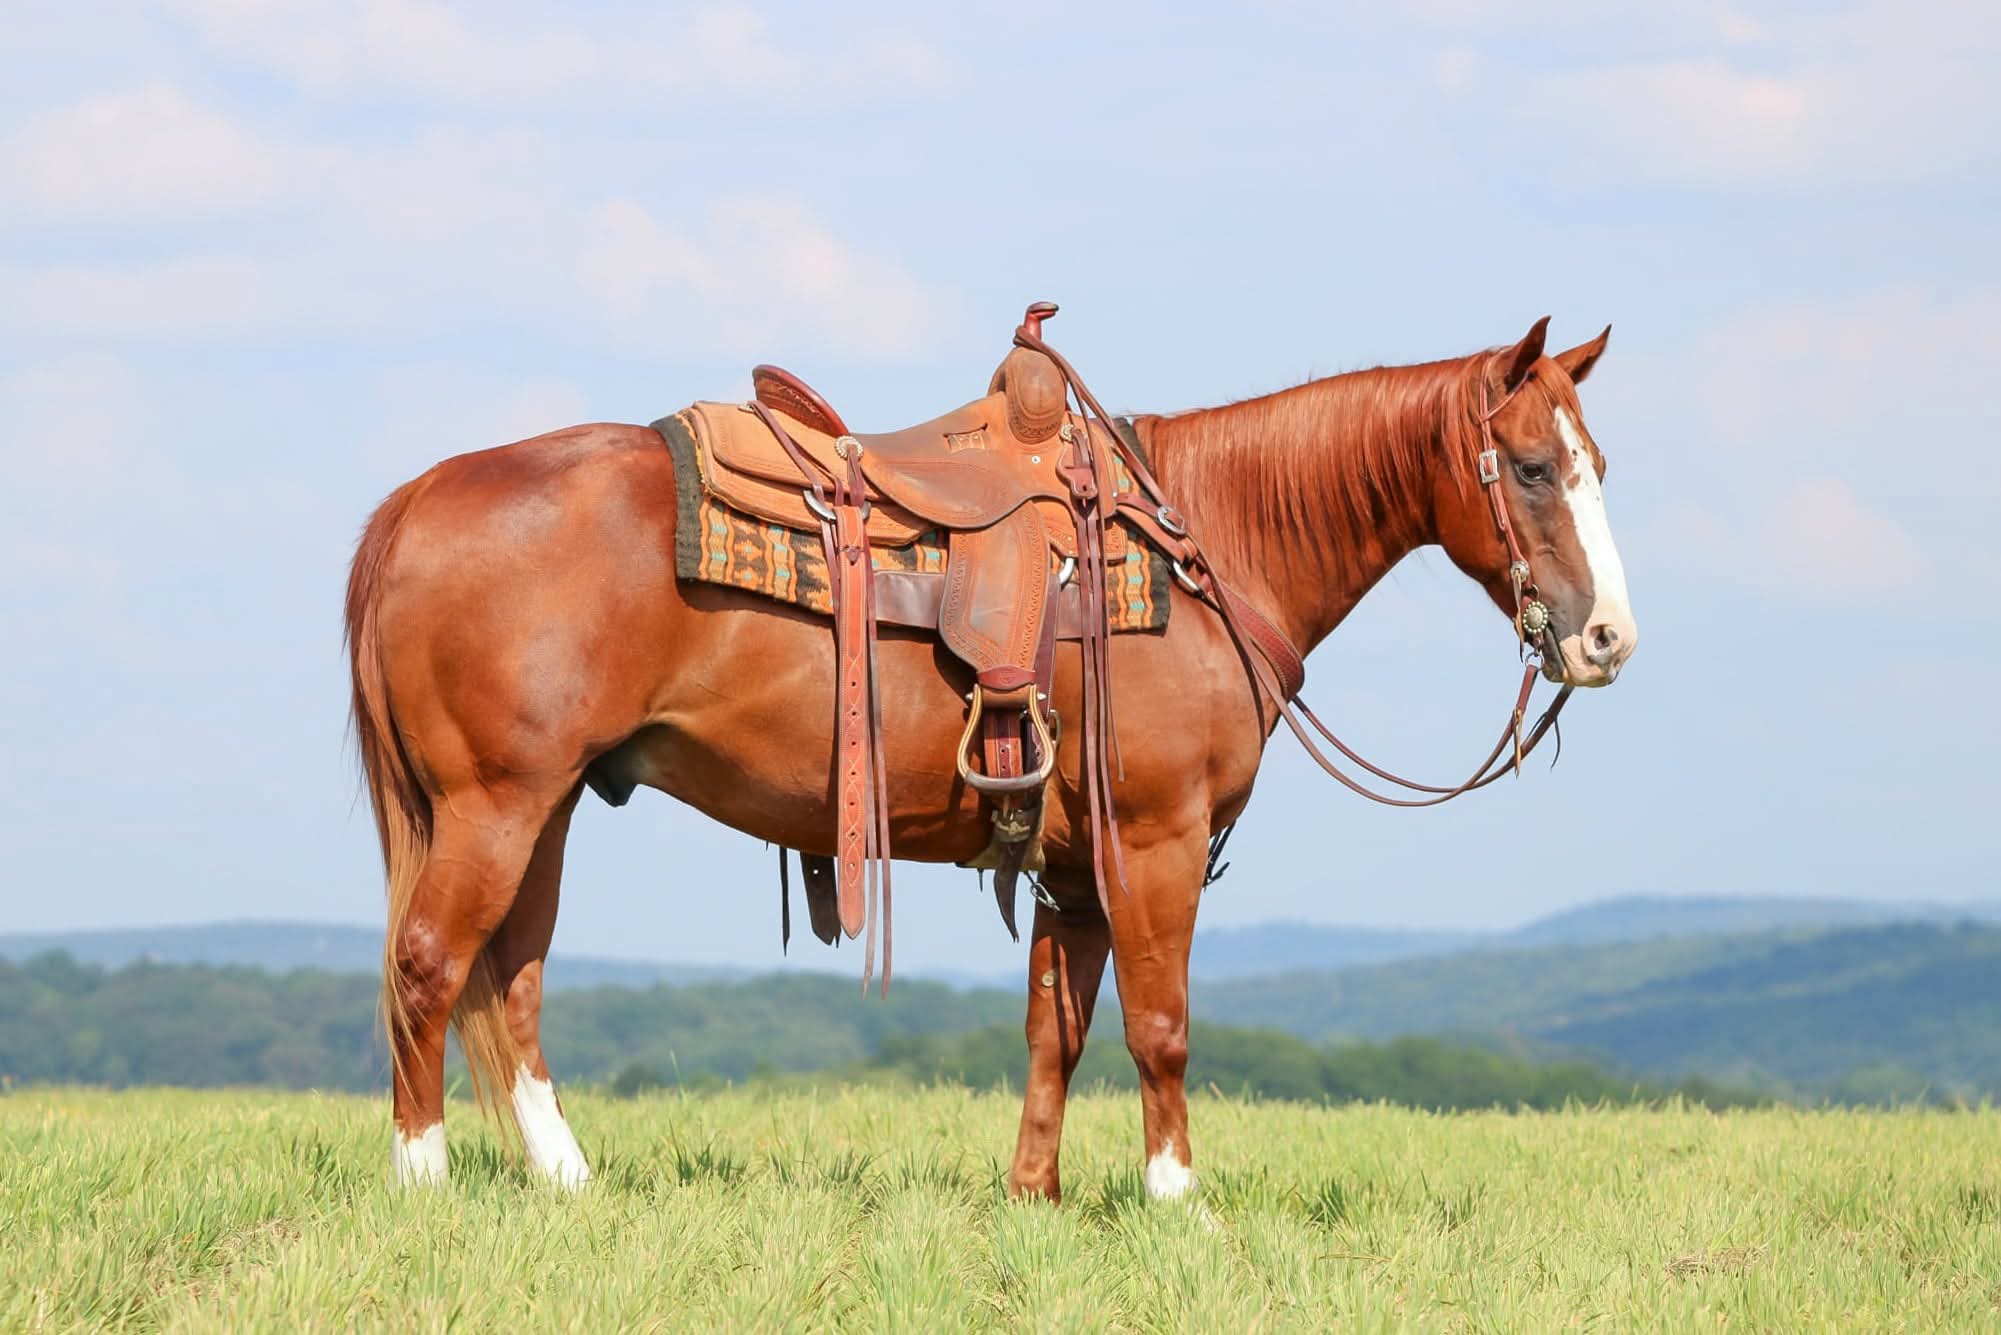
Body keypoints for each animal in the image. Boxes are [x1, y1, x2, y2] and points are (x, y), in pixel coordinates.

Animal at [345, 313, 1637, 1198]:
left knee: (509, 978)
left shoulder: (1070, 866)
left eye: (1598, 467)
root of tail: (420, 495)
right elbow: (1160, 1025)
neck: (1207, 547)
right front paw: (1179, 1202)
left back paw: (567, 1180)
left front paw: (1034, 1197)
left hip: (550, 805)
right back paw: (425, 1180)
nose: (1608, 639)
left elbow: (1054, 1030)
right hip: (495, 803)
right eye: (1531, 469)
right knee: (428, 965)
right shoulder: (1154, 841)